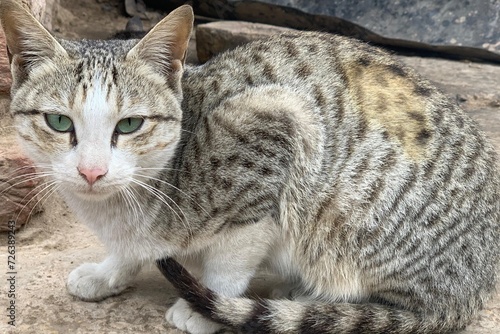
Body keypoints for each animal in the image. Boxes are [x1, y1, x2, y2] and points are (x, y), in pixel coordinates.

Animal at [0, 0, 500, 332]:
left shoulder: (275, 134)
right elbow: (130, 247)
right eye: (59, 121)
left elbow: (232, 256)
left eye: (130, 124)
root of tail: (473, 287)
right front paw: (110, 270)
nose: (91, 172)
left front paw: (204, 308)